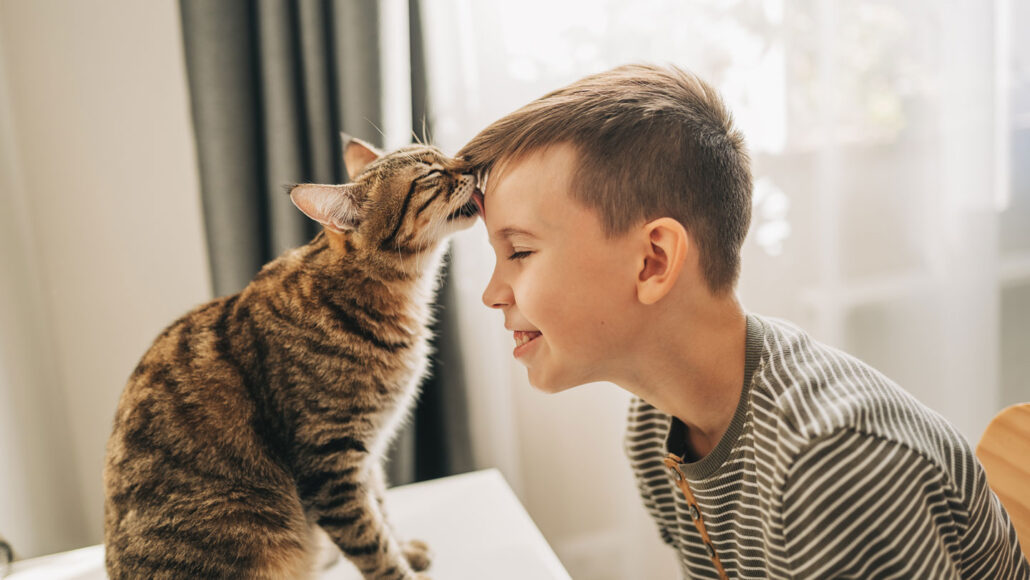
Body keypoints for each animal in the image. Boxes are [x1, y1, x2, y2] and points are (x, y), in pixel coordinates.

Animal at [102, 137, 479, 580]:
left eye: (443, 153)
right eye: (430, 174)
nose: (469, 162)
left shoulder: (367, 456)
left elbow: (383, 510)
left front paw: (407, 549)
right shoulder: (330, 464)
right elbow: (374, 545)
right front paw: (401, 566)